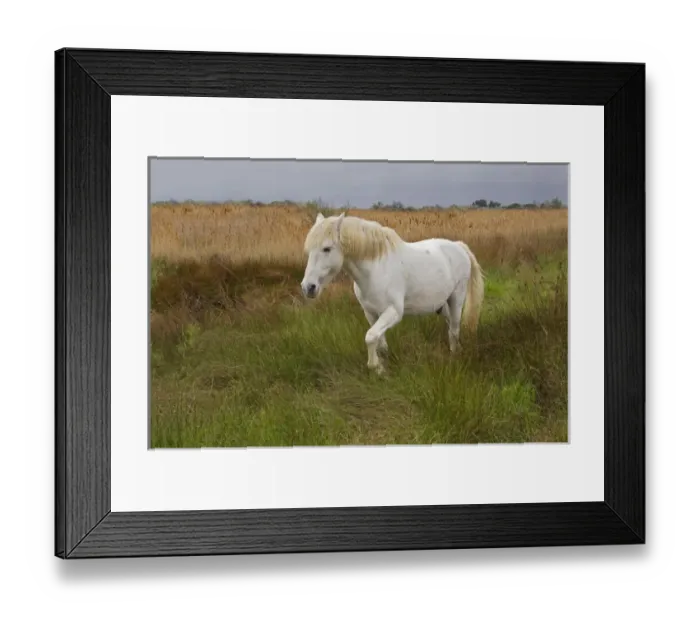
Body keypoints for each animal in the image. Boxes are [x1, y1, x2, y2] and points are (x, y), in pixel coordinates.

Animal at [300, 212, 485, 374]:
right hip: (442, 305)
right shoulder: (371, 313)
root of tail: (459, 246)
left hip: (457, 299)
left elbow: (370, 336)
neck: (375, 269)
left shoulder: (394, 312)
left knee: (454, 329)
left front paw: (376, 367)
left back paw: (455, 356)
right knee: (451, 327)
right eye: (308, 250)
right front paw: (384, 364)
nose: (308, 287)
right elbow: (379, 341)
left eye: (326, 248)